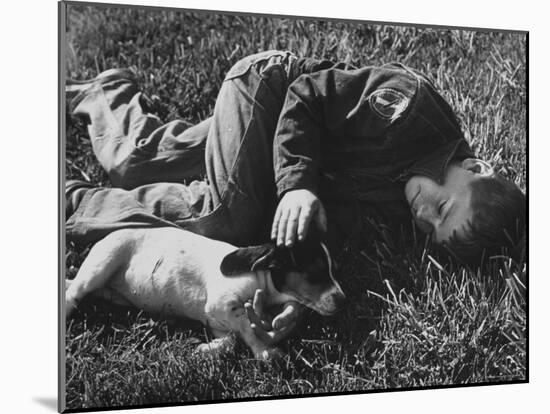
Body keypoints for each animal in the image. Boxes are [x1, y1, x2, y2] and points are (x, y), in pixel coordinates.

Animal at [67, 226, 348, 360]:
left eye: (334, 270)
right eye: (315, 275)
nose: (343, 301)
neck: (262, 280)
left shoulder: (216, 320)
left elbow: (231, 339)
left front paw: (206, 349)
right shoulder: (222, 305)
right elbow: (246, 328)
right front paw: (264, 352)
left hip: (109, 290)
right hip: (101, 264)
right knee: (73, 293)